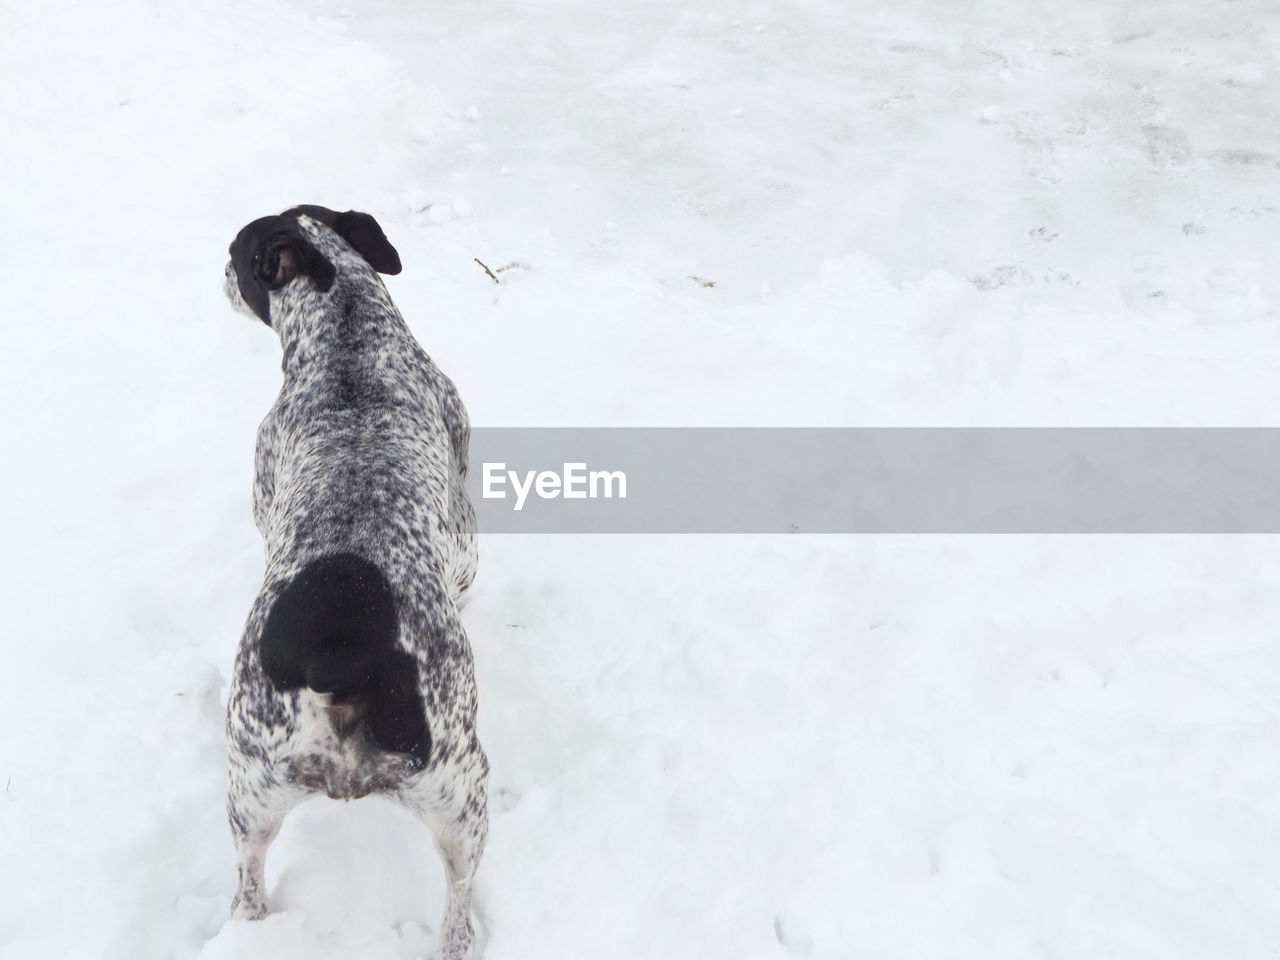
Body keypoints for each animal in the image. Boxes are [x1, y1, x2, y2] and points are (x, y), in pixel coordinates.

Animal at [222, 204, 486, 960]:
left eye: (236, 253)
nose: (219, 271)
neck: (347, 341)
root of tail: (336, 652)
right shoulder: (464, 541)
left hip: (250, 794)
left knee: (248, 881)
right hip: (463, 796)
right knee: (458, 903)